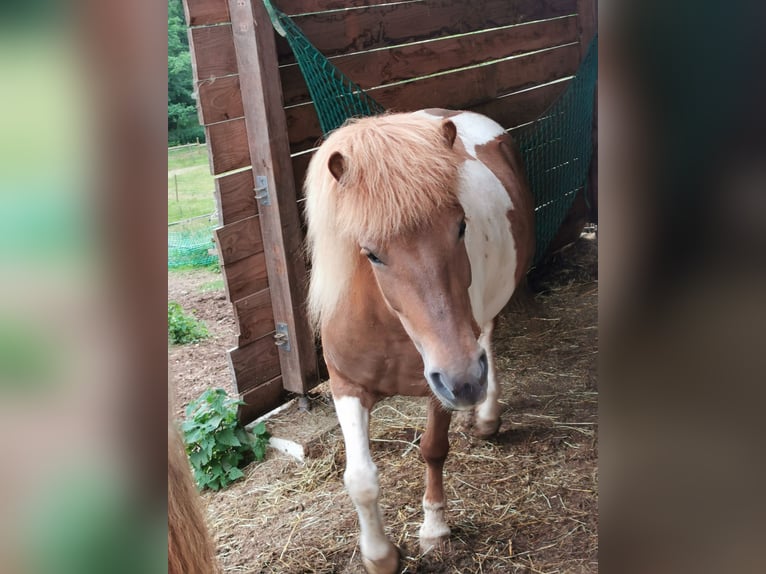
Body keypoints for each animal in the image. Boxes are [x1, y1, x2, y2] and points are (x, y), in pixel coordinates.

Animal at [304, 110, 536, 572]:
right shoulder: (346, 386)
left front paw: (434, 529)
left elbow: (433, 449)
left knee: (489, 337)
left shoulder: (441, 384)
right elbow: (360, 478)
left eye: (461, 226)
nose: (465, 382)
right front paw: (379, 555)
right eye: (371, 252)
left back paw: (487, 416)